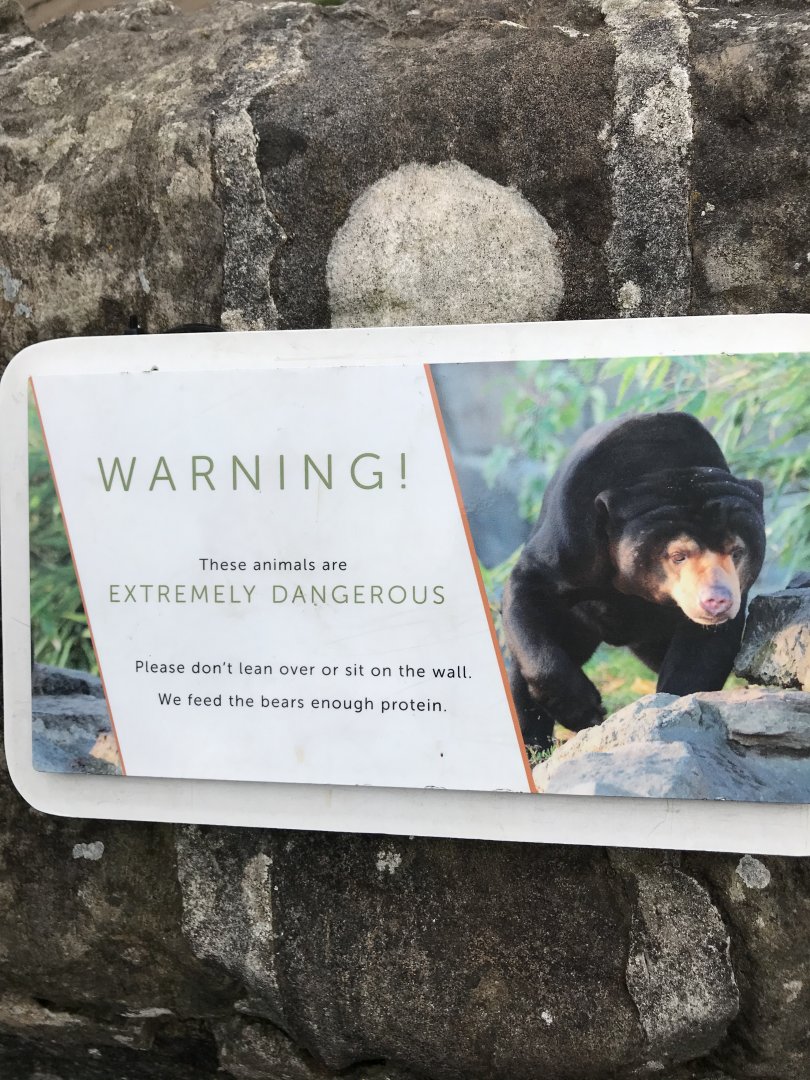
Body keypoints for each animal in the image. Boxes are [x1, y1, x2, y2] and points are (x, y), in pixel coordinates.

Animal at [501, 411, 766, 749]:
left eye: (736, 550)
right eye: (678, 555)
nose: (716, 599)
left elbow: (702, 651)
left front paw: (673, 708)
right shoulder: (573, 538)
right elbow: (527, 589)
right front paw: (585, 710)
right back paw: (532, 743)